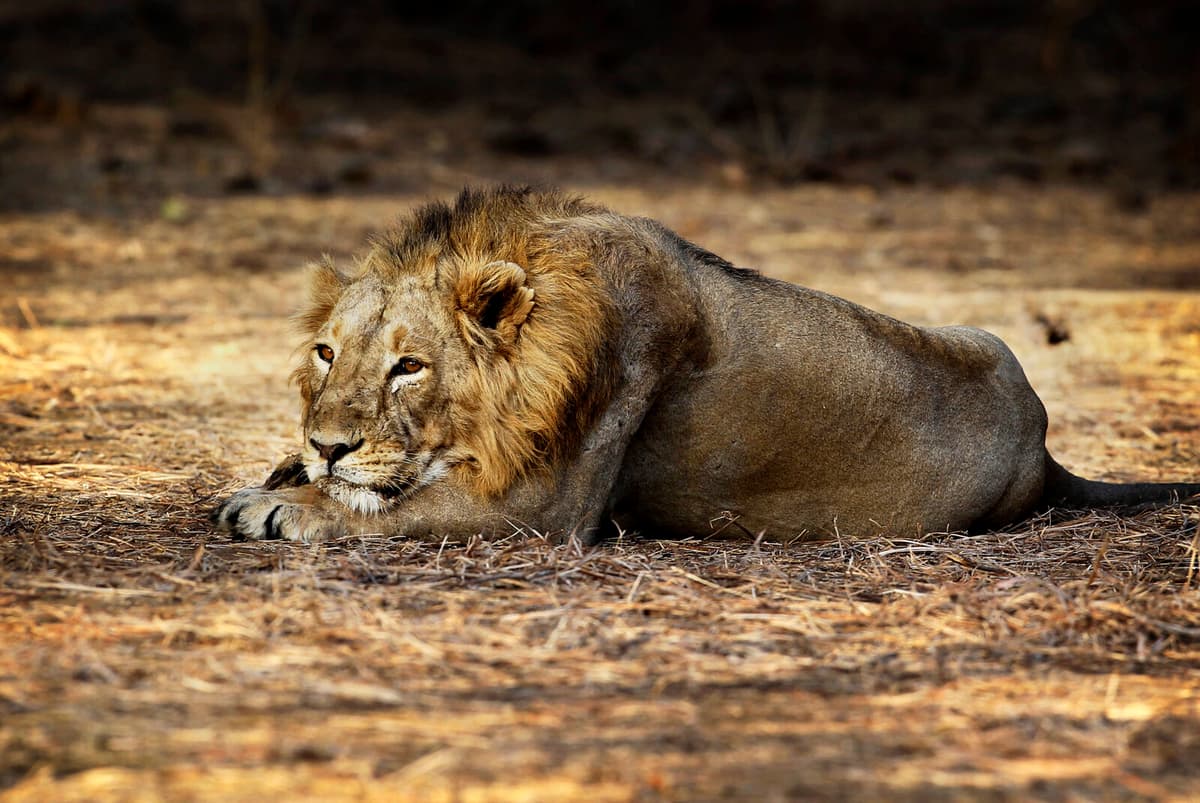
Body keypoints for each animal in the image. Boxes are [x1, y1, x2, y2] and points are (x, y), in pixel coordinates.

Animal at [212, 186, 1200, 544]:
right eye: (326, 352)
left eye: (408, 367)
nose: (327, 444)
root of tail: (1044, 443)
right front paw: (284, 469)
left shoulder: (546, 505)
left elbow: (394, 507)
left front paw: (283, 501)